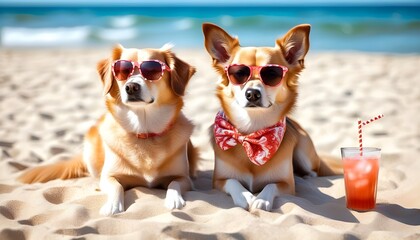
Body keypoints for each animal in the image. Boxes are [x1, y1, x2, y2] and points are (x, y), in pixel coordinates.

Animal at [18, 44, 197, 216]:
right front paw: (113, 205)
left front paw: (174, 200)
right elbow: (116, 186)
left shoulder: (184, 178)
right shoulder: (108, 176)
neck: (143, 129)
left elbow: (174, 183)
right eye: (122, 70)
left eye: (152, 70)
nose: (131, 87)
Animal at [203, 22, 342, 210]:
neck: (252, 132)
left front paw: (261, 200)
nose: (252, 94)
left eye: (272, 74)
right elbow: (233, 181)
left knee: (313, 169)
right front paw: (245, 196)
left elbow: (270, 185)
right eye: (238, 73)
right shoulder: (218, 181)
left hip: (304, 152)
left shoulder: (287, 185)